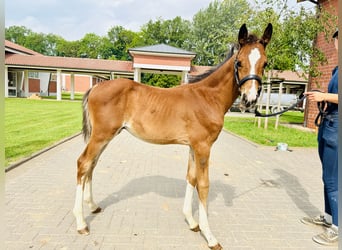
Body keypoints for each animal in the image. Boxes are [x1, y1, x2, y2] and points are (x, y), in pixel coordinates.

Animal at [73, 23, 274, 250]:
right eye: (239, 62)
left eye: (265, 63)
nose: (250, 100)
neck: (208, 97)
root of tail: (96, 86)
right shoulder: (203, 146)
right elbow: (203, 185)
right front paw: (210, 236)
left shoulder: (193, 146)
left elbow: (191, 178)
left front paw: (192, 221)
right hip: (101, 135)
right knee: (83, 163)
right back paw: (81, 223)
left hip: (105, 137)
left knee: (92, 164)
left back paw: (93, 206)